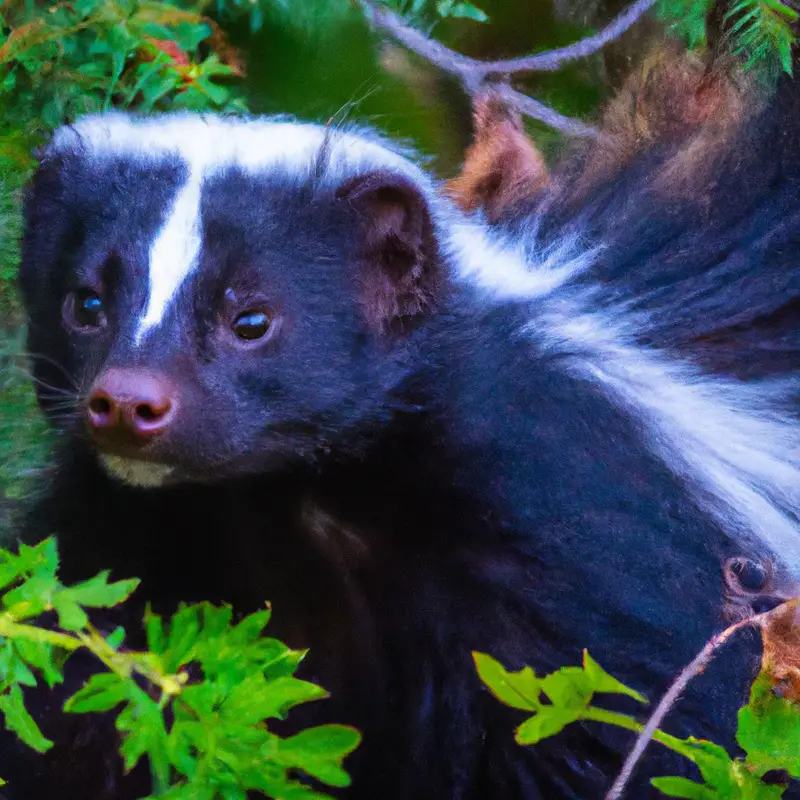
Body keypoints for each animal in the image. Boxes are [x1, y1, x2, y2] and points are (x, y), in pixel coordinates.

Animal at [7, 54, 800, 792]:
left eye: (252, 319)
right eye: (85, 303)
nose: (127, 403)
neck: (289, 498)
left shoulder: (577, 539)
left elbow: (624, 736)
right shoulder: (120, 539)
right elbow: (70, 704)